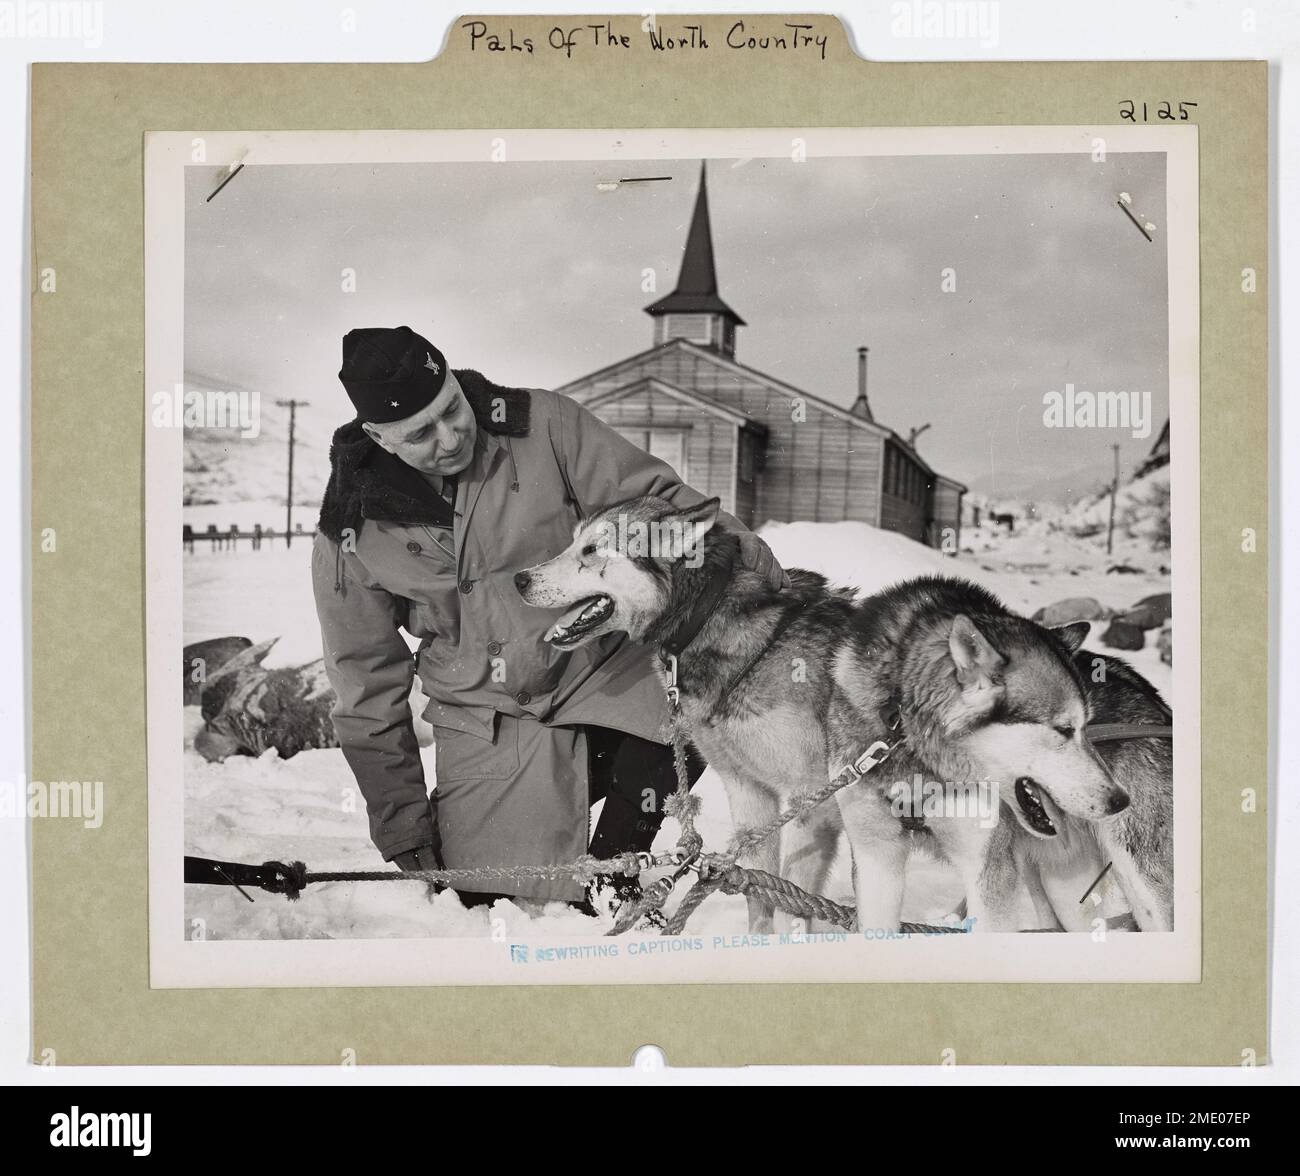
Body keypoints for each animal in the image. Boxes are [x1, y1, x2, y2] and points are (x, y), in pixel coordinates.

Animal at [512, 491, 1175, 930]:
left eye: (590, 549)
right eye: (572, 542)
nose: (519, 578)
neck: (745, 638)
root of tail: (1149, 692)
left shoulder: (816, 807)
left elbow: (795, 904)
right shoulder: (754, 799)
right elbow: (762, 900)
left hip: (1131, 871)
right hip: (1055, 880)